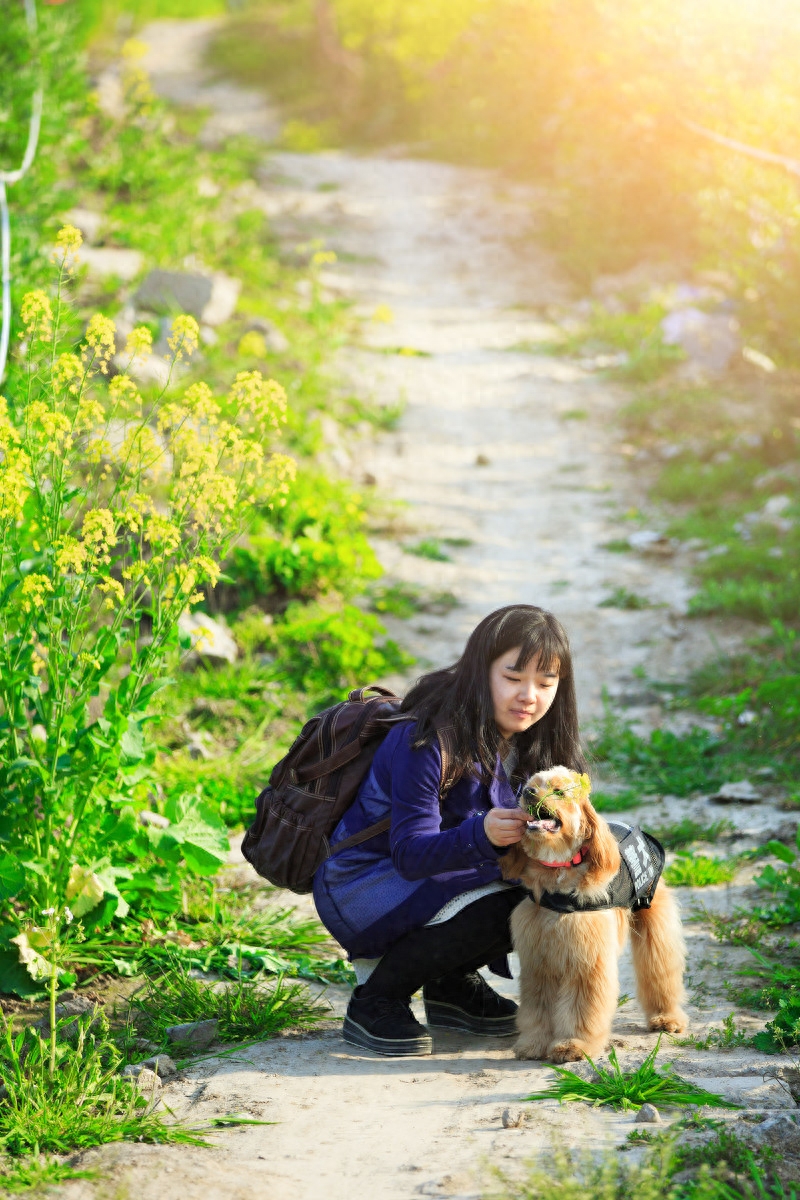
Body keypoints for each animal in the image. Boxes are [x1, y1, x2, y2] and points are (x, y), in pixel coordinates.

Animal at [503, 768, 686, 1060]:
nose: (528, 793)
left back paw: (666, 1017)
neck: (559, 873)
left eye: (559, 792)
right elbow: (537, 1007)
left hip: (655, 927)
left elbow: (581, 1008)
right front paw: (534, 1043)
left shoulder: (586, 961)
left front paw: (573, 1044)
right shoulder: (539, 961)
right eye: (531, 785)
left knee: (661, 971)